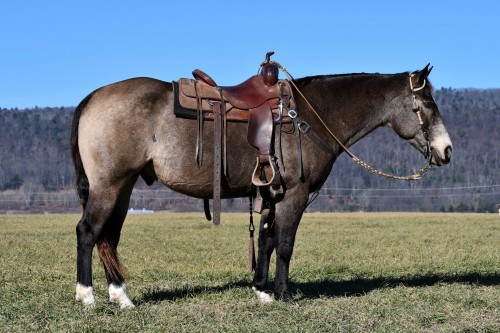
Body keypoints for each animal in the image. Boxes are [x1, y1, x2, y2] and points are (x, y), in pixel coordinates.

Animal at [71, 63, 454, 308]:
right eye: (428, 103)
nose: (446, 150)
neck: (310, 117)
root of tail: (93, 97)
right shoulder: (295, 195)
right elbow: (284, 243)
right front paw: (284, 294)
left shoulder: (272, 194)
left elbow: (266, 242)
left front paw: (262, 290)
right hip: (109, 186)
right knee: (88, 232)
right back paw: (87, 296)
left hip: (123, 187)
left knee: (109, 237)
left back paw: (121, 297)